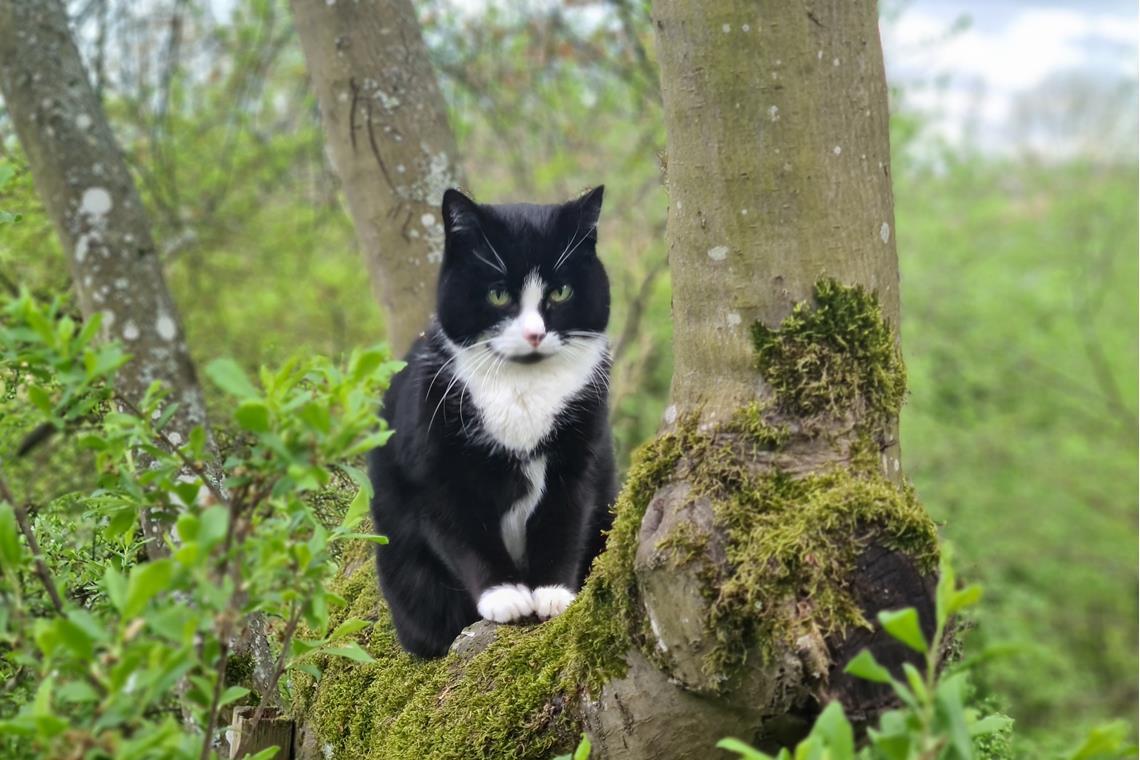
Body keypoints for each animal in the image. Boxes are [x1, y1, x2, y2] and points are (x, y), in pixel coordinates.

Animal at [367, 185, 615, 660]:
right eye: (499, 295)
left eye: (561, 291)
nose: (535, 333)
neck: (522, 386)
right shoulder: (433, 467)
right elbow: (461, 531)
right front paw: (505, 596)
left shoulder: (582, 454)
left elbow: (566, 516)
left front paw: (553, 593)